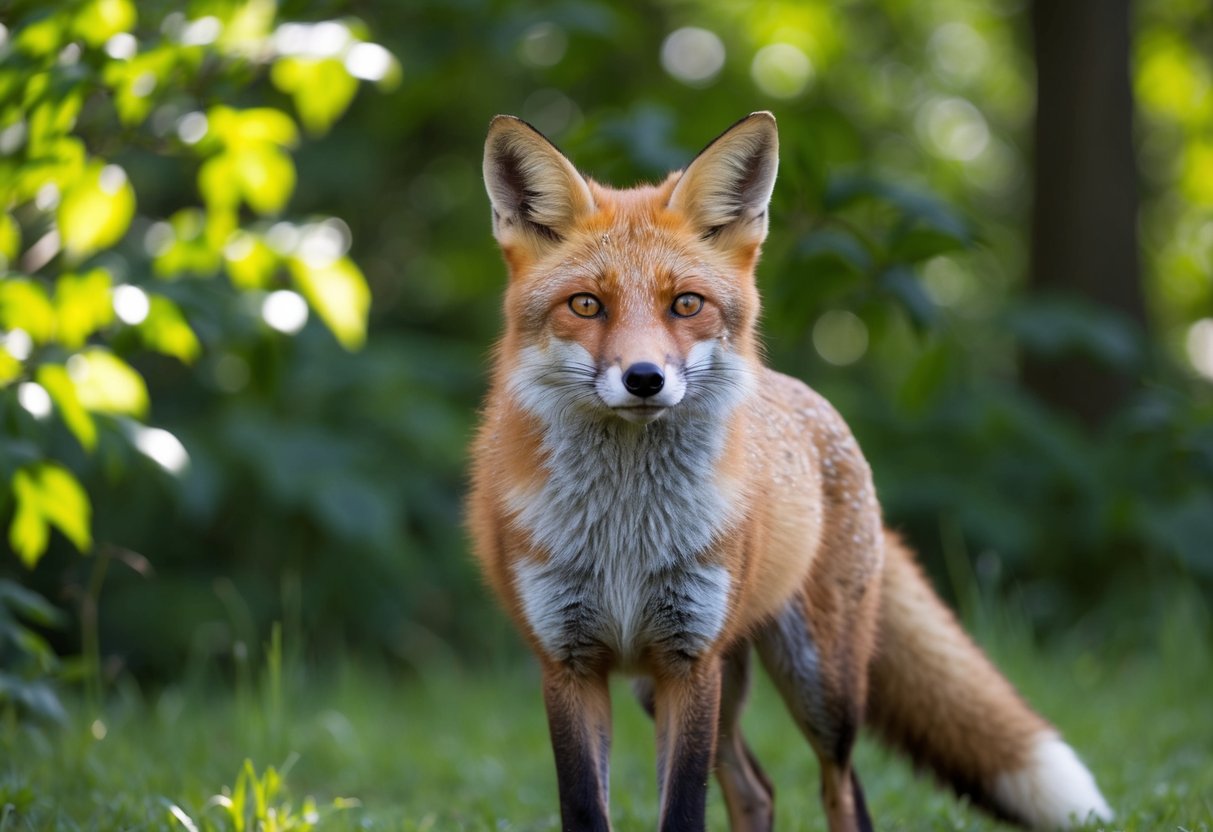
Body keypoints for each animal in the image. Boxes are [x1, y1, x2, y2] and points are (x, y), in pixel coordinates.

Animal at [467, 111, 1113, 832]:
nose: (644, 378)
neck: (626, 536)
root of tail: (807, 399)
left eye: (685, 305)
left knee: (842, 788)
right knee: (758, 789)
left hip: (819, 685)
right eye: (585, 306)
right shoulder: (570, 663)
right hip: (667, 686)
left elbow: (683, 811)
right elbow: (589, 808)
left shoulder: (690, 660)